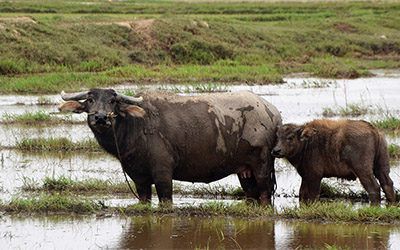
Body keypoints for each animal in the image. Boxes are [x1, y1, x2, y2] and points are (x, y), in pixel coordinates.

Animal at [59, 89, 282, 204]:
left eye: (113, 101)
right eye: (90, 99)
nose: (100, 117)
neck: (136, 126)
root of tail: (272, 113)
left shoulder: (163, 173)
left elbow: (165, 197)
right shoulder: (139, 177)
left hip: (262, 165)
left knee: (265, 193)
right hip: (245, 170)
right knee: (251, 193)